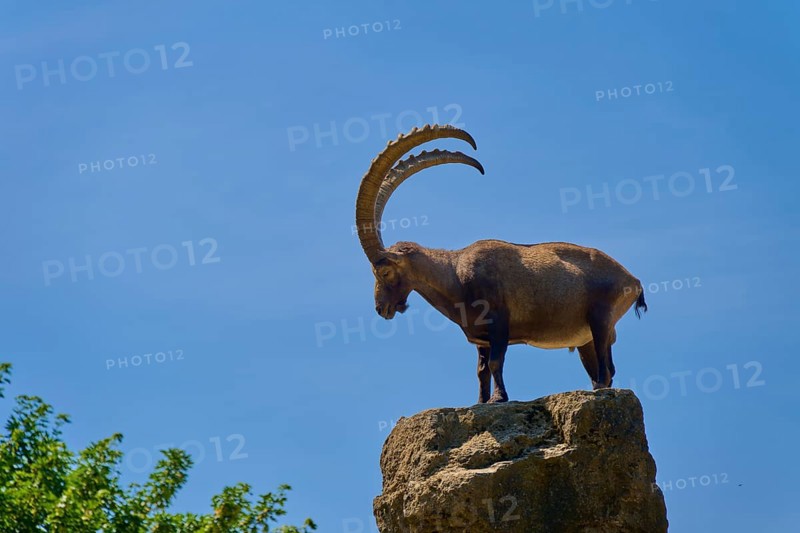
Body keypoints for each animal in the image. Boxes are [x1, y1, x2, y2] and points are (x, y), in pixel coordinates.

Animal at [354, 124, 647, 403]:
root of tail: (633, 280)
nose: (381, 308)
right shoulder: (481, 338)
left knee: (606, 371)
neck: (455, 274)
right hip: (586, 338)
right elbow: (481, 370)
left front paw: (499, 398)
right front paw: (480, 401)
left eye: (385, 271)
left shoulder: (499, 322)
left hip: (601, 318)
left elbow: (496, 362)